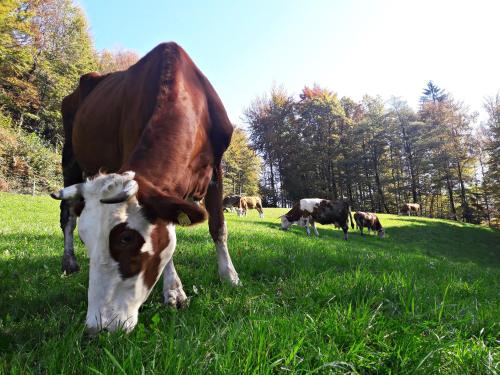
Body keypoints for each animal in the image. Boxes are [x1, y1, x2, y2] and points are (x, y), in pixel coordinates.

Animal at [50, 42, 240, 334]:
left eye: (126, 238)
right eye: (87, 239)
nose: (98, 326)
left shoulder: (216, 167)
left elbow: (218, 227)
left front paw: (229, 276)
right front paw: (174, 291)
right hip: (69, 156)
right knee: (67, 214)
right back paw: (69, 261)